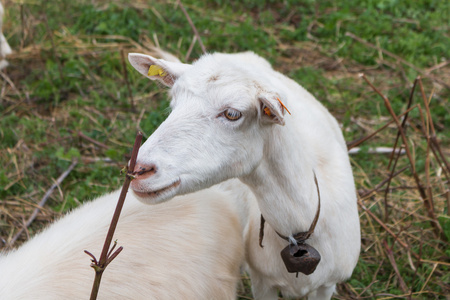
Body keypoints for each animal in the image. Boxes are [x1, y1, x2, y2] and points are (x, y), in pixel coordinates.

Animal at [127, 50, 362, 298]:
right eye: (173, 104)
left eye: (232, 114)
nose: (139, 170)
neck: (299, 230)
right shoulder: (262, 281)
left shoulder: (327, 285)